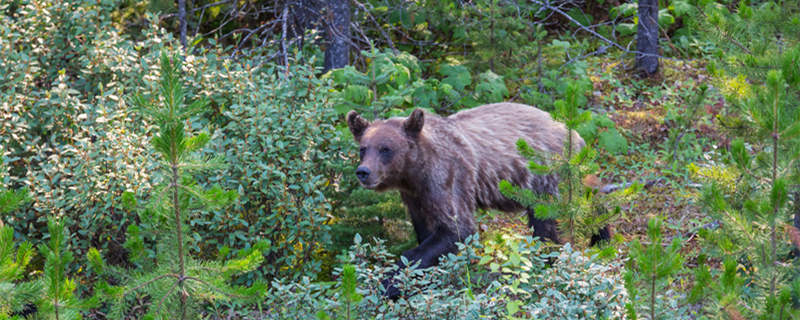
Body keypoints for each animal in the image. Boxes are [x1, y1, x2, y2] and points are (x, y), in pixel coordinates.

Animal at [346, 102, 608, 298]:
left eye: (385, 148)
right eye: (363, 148)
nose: (363, 172)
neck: (415, 172)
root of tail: (575, 134)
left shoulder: (449, 178)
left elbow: (457, 229)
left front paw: (389, 282)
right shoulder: (416, 197)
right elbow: (426, 231)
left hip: (548, 177)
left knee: (551, 225)